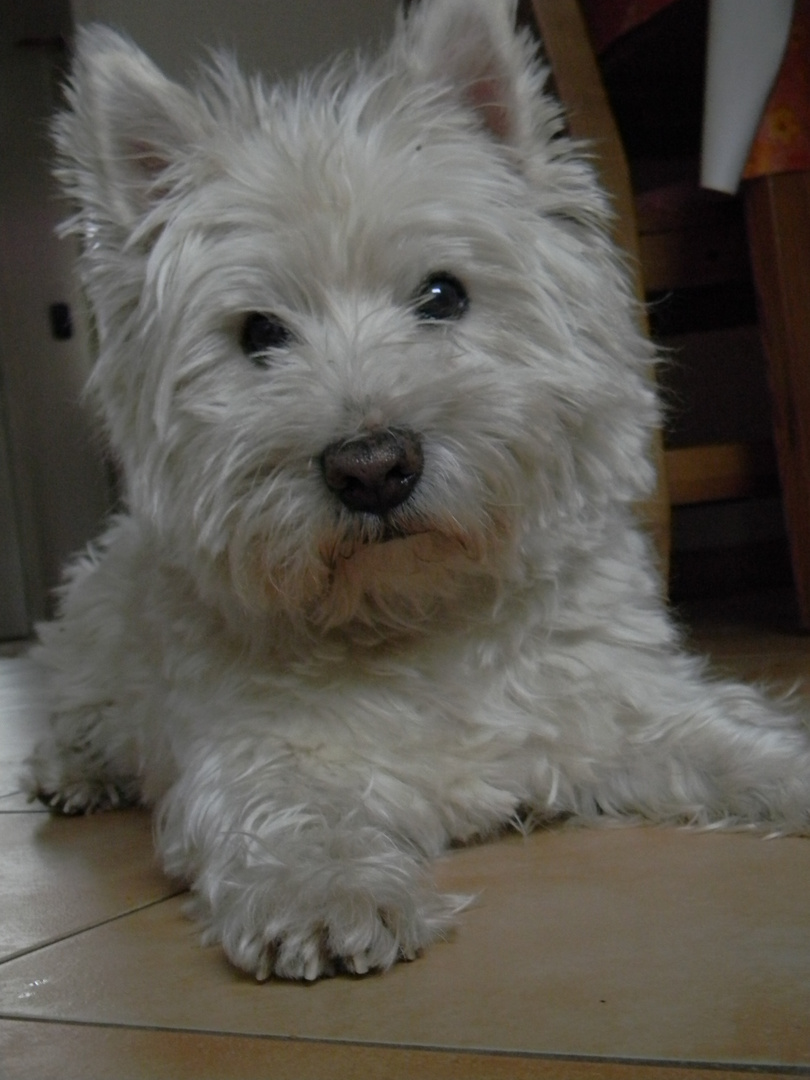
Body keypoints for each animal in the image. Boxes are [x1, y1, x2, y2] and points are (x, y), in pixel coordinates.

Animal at [25, 0, 810, 980]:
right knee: (68, 706)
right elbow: (283, 812)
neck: (420, 612)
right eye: (258, 334)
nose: (372, 467)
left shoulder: (623, 703)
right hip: (87, 635)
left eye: (443, 294)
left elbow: (734, 739)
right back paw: (74, 774)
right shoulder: (250, 749)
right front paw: (328, 893)